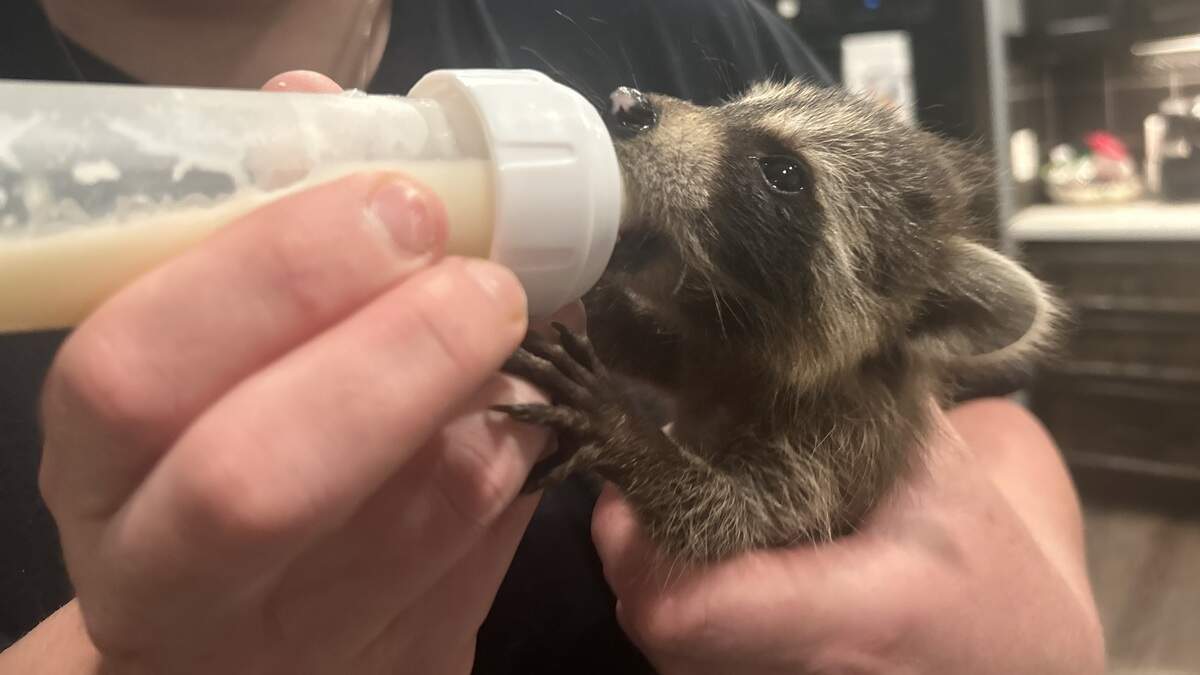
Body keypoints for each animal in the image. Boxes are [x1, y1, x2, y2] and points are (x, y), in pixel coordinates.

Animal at [495, 81, 1059, 564]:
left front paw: (627, 435)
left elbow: (732, 519)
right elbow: (651, 346)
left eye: (784, 174)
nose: (627, 104)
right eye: (733, 105)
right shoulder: (709, 351)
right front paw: (598, 302)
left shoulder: (841, 447)